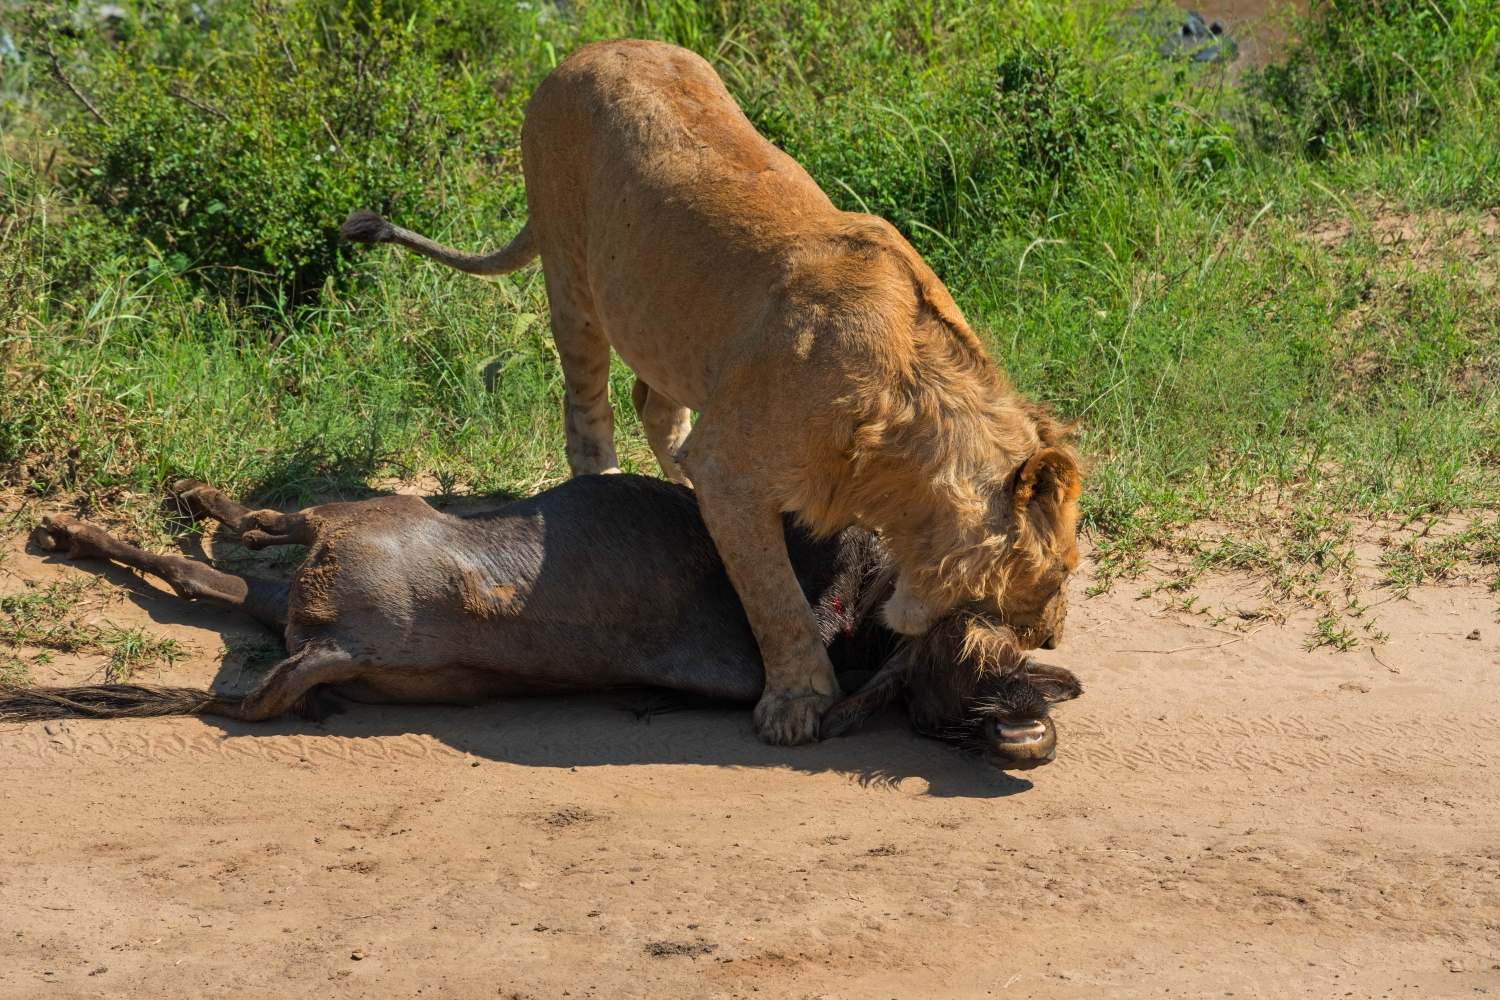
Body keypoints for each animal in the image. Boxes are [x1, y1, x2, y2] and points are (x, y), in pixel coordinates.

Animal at [345, 37, 1086, 743]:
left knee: (655, 409)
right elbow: (773, 596)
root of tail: (585, 51)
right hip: (572, 282)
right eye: (1061, 572)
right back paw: (605, 484)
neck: (902, 429)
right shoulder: (731, 467)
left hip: (672, 329)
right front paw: (797, 701)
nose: (1051, 639)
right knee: (588, 409)